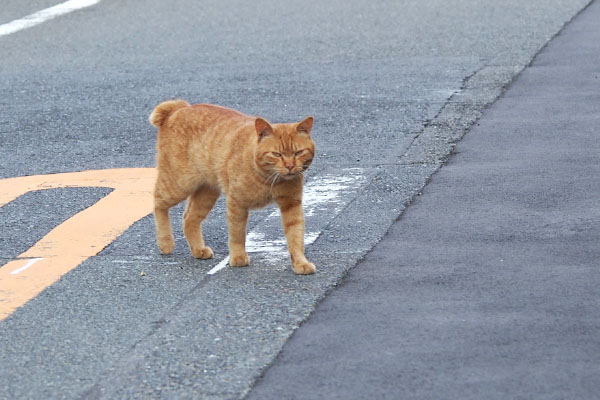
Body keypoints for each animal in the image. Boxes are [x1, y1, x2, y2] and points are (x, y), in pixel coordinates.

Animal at [149, 100, 318, 276]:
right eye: (276, 154)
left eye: (298, 152)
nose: (290, 166)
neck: (269, 180)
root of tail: (180, 107)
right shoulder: (237, 203)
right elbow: (237, 234)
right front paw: (238, 257)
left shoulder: (292, 204)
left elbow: (296, 237)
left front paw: (300, 263)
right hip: (178, 185)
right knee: (157, 203)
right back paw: (165, 242)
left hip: (207, 192)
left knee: (189, 218)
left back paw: (198, 249)